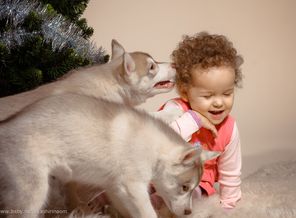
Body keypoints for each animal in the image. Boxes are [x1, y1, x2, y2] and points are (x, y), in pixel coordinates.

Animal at [0, 93, 217, 218]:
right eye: (184, 187)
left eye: (192, 188)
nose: (189, 212)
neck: (154, 148)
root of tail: (6, 126)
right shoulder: (133, 187)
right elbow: (148, 213)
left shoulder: (116, 188)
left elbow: (125, 210)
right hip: (32, 193)